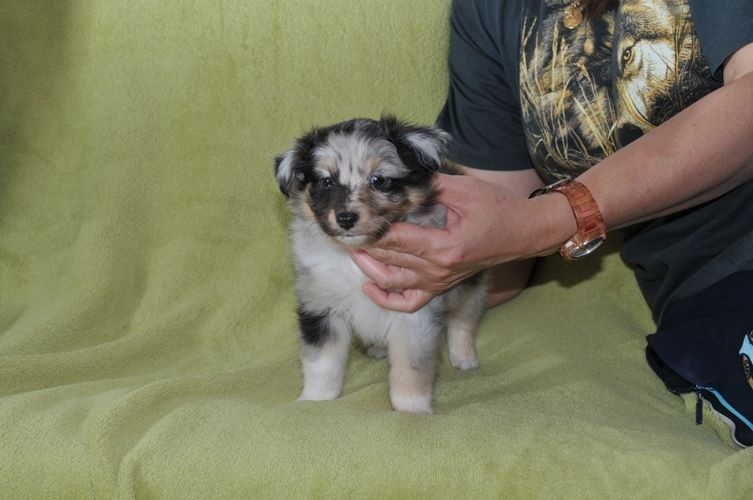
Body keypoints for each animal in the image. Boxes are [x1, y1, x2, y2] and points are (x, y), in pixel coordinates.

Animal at [274, 116, 484, 414]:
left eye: (379, 180)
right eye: (326, 181)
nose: (346, 218)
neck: (353, 257)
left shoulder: (415, 312)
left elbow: (410, 368)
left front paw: (411, 410)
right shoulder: (320, 306)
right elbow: (322, 363)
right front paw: (314, 401)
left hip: (470, 283)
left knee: (463, 320)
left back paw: (464, 358)